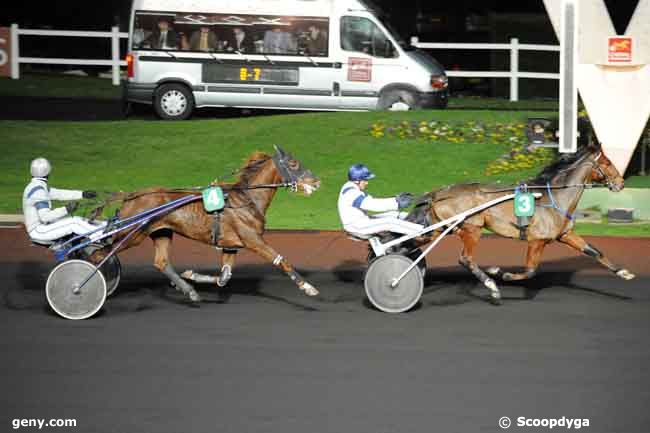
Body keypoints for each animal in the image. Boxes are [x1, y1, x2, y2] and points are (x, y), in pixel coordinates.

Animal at [94, 145, 322, 300]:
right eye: (293, 164)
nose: (317, 182)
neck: (247, 199)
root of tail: (131, 195)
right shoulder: (253, 240)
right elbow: (281, 260)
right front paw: (308, 287)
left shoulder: (231, 246)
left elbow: (224, 278)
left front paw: (191, 275)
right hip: (131, 234)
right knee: (100, 253)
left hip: (161, 232)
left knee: (161, 262)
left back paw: (189, 291)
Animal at [410, 144, 632, 304]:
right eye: (607, 163)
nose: (621, 183)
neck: (554, 198)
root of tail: (439, 193)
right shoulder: (537, 241)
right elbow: (530, 270)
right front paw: (501, 273)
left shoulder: (566, 235)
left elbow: (595, 252)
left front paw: (624, 272)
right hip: (471, 228)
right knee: (466, 259)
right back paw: (492, 286)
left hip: (439, 228)